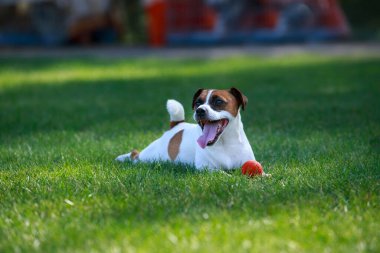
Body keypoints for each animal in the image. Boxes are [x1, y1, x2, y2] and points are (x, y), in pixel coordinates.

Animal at [116, 87, 255, 170]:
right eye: (198, 102)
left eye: (219, 101)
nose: (200, 110)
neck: (225, 144)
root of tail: (176, 125)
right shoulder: (207, 169)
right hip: (150, 156)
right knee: (135, 155)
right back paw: (122, 158)